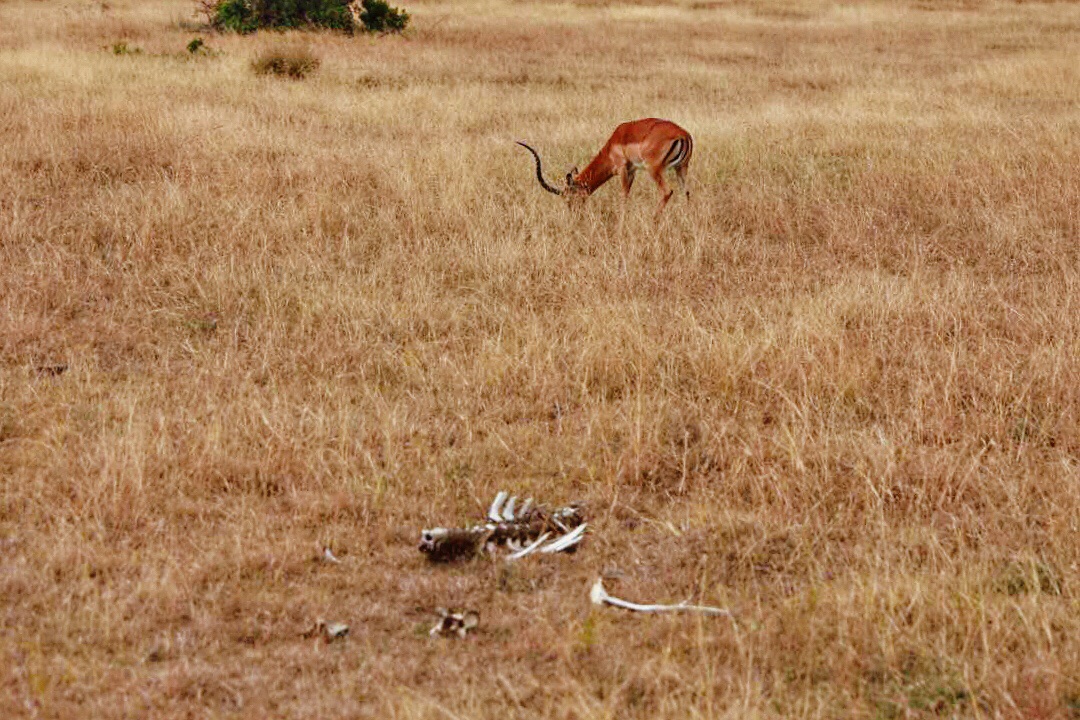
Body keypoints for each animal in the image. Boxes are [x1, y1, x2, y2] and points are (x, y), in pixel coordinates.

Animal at [516, 118, 691, 216]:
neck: (612, 144)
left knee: (667, 191)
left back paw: (653, 220)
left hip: (654, 170)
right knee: (687, 193)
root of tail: (683, 134)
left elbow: (624, 196)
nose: (575, 216)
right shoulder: (632, 171)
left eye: (569, 198)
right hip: (681, 169)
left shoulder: (622, 169)